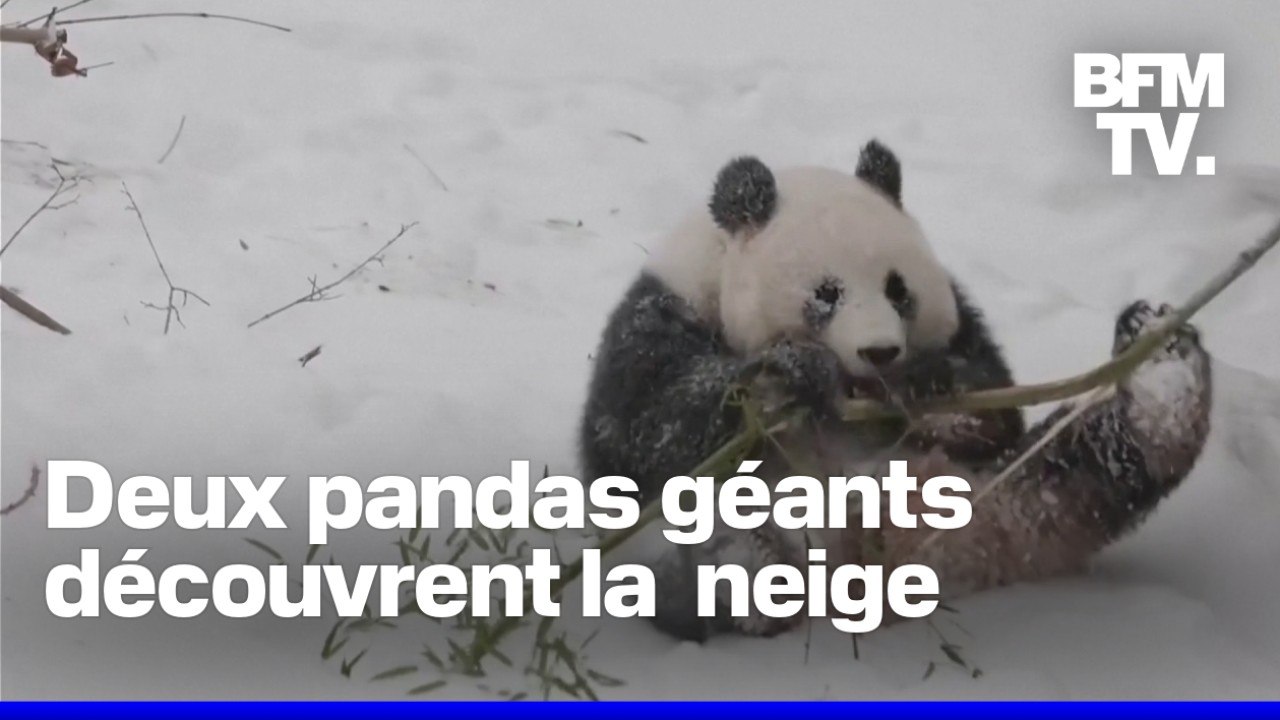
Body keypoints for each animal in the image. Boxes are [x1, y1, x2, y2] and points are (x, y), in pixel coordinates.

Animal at [579, 141, 1213, 641]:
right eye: (827, 292)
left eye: (897, 289)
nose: (881, 352)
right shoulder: (663, 310)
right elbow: (641, 433)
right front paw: (786, 376)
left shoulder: (963, 327)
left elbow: (993, 409)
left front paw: (923, 383)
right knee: (707, 546)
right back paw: (749, 581)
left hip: (1001, 494)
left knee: (1093, 461)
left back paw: (1161, 365)